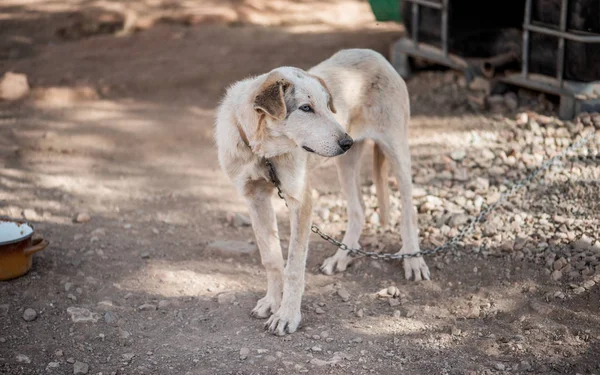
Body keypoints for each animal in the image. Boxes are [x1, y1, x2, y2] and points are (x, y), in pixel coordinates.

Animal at [213, 49, 428, 334]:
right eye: (306, 108)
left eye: (328, 105)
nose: (346, 141)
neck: (263, 152)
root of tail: (375, 54)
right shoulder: (255, 199)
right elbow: (271, 259)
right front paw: (272, 302)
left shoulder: (301, 201)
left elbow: (294, 267)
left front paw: (287, 316)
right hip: (345, 163)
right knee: (358, 210)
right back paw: (342, 256)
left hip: (396, 150)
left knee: (408, 210)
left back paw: (413, 260)